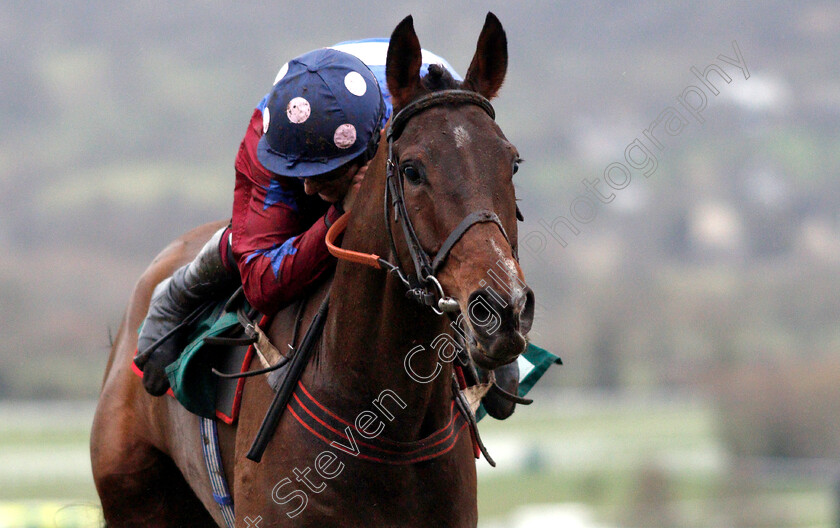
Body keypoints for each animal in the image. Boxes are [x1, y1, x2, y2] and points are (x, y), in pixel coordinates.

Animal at [88, 13, 536, 528]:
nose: (500, 310)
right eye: (411, 170)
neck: (382, 423)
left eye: (512, 163)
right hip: (135, 496)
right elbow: (260, 265)